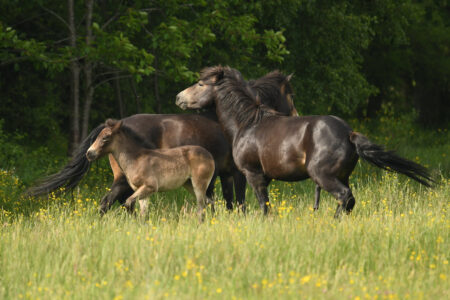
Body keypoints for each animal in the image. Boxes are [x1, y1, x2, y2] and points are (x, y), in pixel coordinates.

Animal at [86, 119, 216, 220]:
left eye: (105, 137)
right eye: (98, 136)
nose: (89, 153)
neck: (136, 159)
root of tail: (209, 156)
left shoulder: (150, 187)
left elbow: (128, 203)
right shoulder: (142, 192)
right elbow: (142, 213)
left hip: (199, 184)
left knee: (201, 205)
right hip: (188, 184)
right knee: (209, 202)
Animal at [174, 65, 434, 217]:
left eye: (201, 84)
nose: (179, 97)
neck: (247, 124)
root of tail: (348, 134)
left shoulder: (252, 174)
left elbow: (262, 207)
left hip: (324, 176)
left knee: (344, 198)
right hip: (342, 176)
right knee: (347, 202)